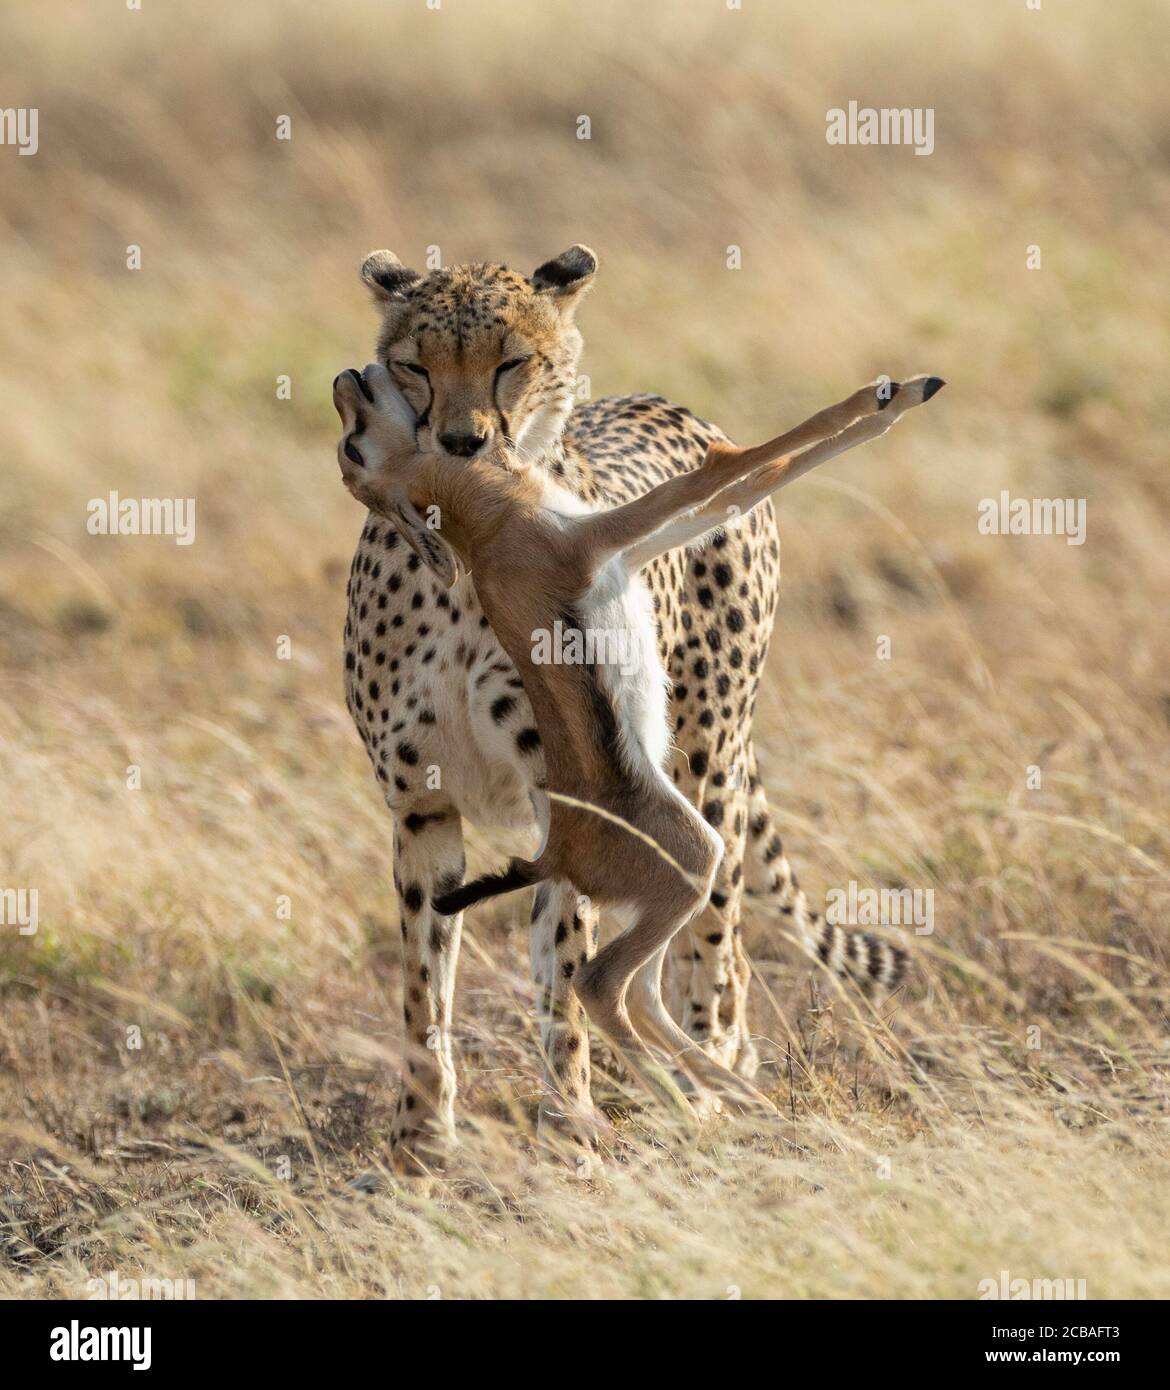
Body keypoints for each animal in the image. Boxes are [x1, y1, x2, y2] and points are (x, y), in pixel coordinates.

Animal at [339, 244, 911, 1167]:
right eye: (415, 365)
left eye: (511, 362)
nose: (463, 439)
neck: (466, 528)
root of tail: (669, 402)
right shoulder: (421, 804)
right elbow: (426, 989)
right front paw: (419, 1147)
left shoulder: (548, 788)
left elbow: (555, 969)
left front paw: (566, 1124)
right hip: (670, 826)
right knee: (624, 979)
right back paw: (697, 1087)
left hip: (705, 772)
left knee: (704, 953)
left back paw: (712, 1076)